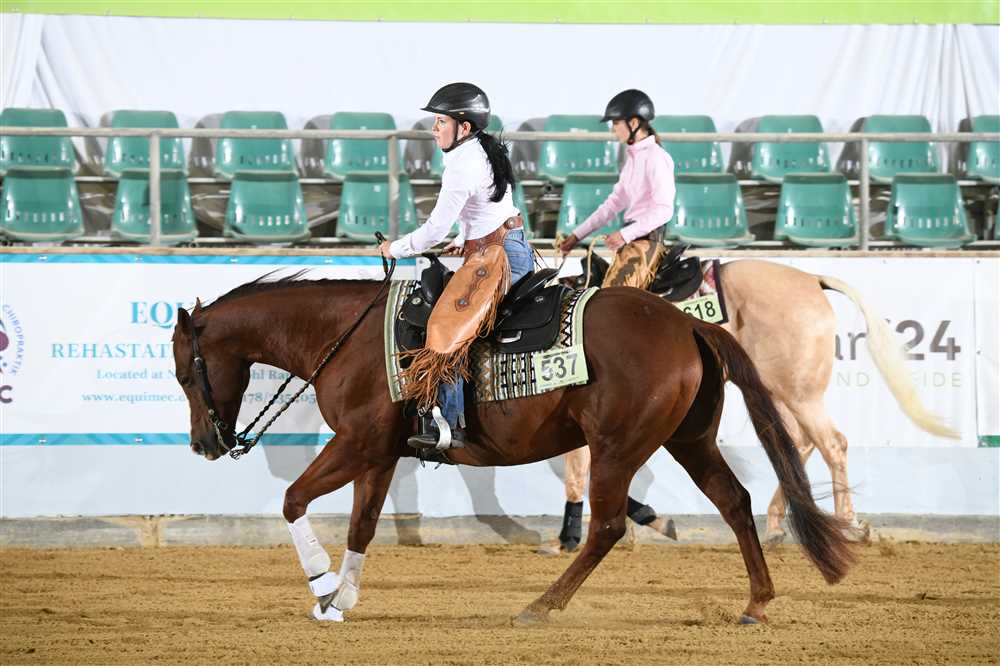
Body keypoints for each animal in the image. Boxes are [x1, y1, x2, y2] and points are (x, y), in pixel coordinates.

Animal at [171, 274, 856, 624]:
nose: (203, 444)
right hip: (690, 439)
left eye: (184, 373)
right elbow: (362, 525)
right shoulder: (380, 454)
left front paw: (320, 586)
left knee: (607, 526)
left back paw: (541, 605)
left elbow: (293, 499)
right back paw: (756, 602)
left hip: (618, 445)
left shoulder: (357, 442)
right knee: (734, 501)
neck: (347, 334)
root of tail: (687, 322)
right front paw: (343, 598)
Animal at [566, 256, 957, 547]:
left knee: (831, 443)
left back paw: (848, 523)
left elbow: (578, 468)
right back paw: (778, 524)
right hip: (778, 389)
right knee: (799, 442)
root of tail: (811, 279)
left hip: (800, 392)